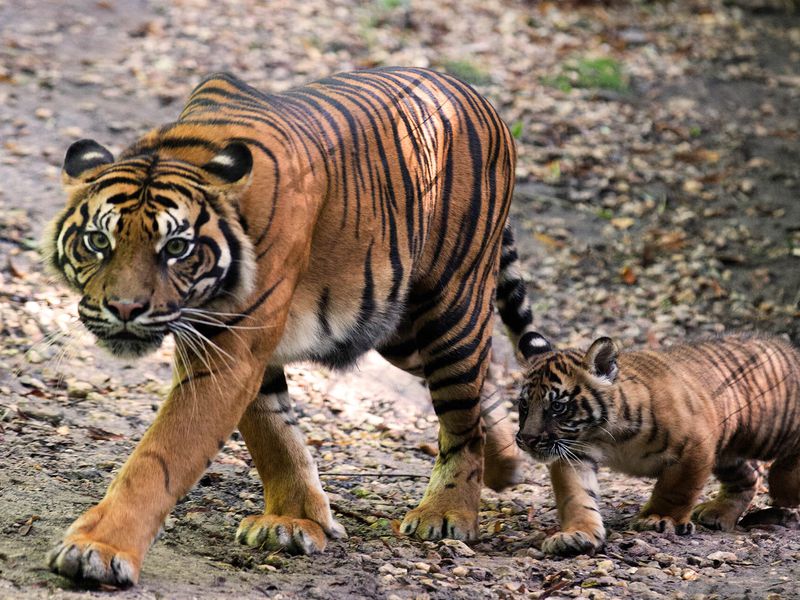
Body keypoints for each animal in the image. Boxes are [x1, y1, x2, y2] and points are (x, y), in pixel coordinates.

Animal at [43, 67, 536, 584]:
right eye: (99, 241)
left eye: (176, 248)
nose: (124, 308)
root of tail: (470, 91)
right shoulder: (238, 349)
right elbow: (274, 434)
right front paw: (293, 520)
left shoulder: (230, 350)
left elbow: (160, 458)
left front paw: (97, 549)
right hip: (399, 330)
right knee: (480, 380)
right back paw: (505, 467)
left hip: (450, 307)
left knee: (462, 416)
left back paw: (447, 513)